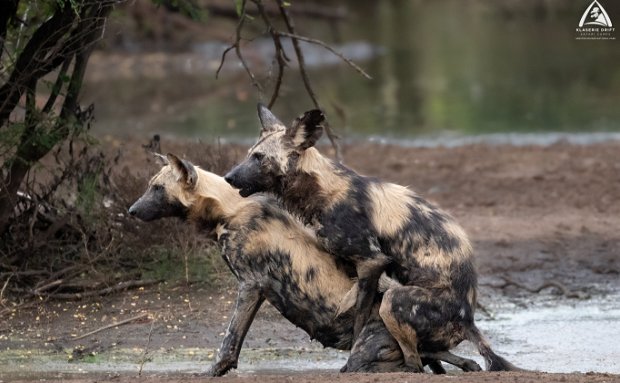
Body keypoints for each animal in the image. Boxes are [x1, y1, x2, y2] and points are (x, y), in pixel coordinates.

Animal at [128, 152, 482, 376]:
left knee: (394, 365)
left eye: (157, 188)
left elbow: (229, 341)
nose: (131, 210)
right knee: (440, 357)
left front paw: (211, 372)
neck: (229, 210)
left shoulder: (250, 286)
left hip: (368, 350)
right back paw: (466, 364)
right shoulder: (255, 290)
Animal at [224, 104, 520, 372]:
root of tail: (468, 319)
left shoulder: (371, 260)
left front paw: (353, 354)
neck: (322, 191)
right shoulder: (356, 265)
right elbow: (351, 301)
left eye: (259, 157)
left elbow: (359, 321)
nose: (228, 177)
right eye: (250, 154)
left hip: (394, 302)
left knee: (414, 363)